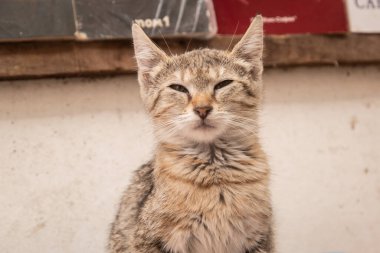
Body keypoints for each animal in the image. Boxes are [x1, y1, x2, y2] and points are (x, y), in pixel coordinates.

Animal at [107, 16, 274, 253]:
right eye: (178, 88)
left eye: (223, 84)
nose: (202, 109)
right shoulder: (147, 240)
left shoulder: (259, 239)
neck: (214, 174)